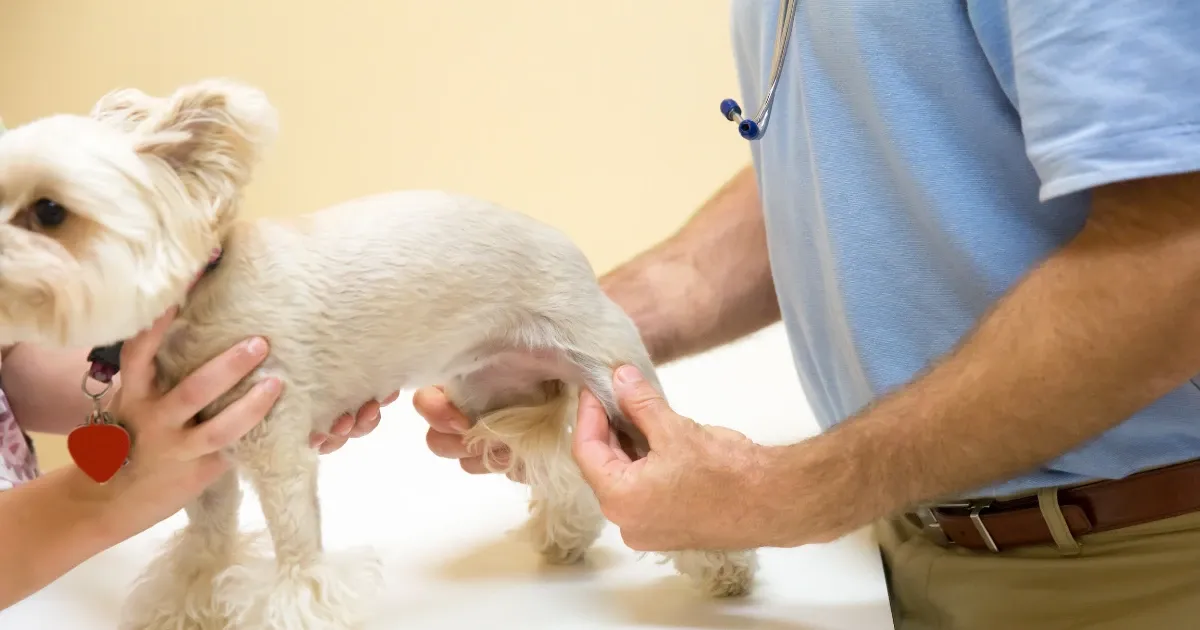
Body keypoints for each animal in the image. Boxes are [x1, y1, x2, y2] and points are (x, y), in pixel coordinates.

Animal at [0, 79, 753, 628]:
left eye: (49, 211)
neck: (200, 296)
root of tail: (573, 255)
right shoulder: (200, 461)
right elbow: (205, 545)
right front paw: (187, 603)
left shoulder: (275, 448)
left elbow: (298, 554)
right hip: (491, 390)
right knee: (566, 470)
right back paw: (567, 536)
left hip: (614, 381)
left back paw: (722, 567)